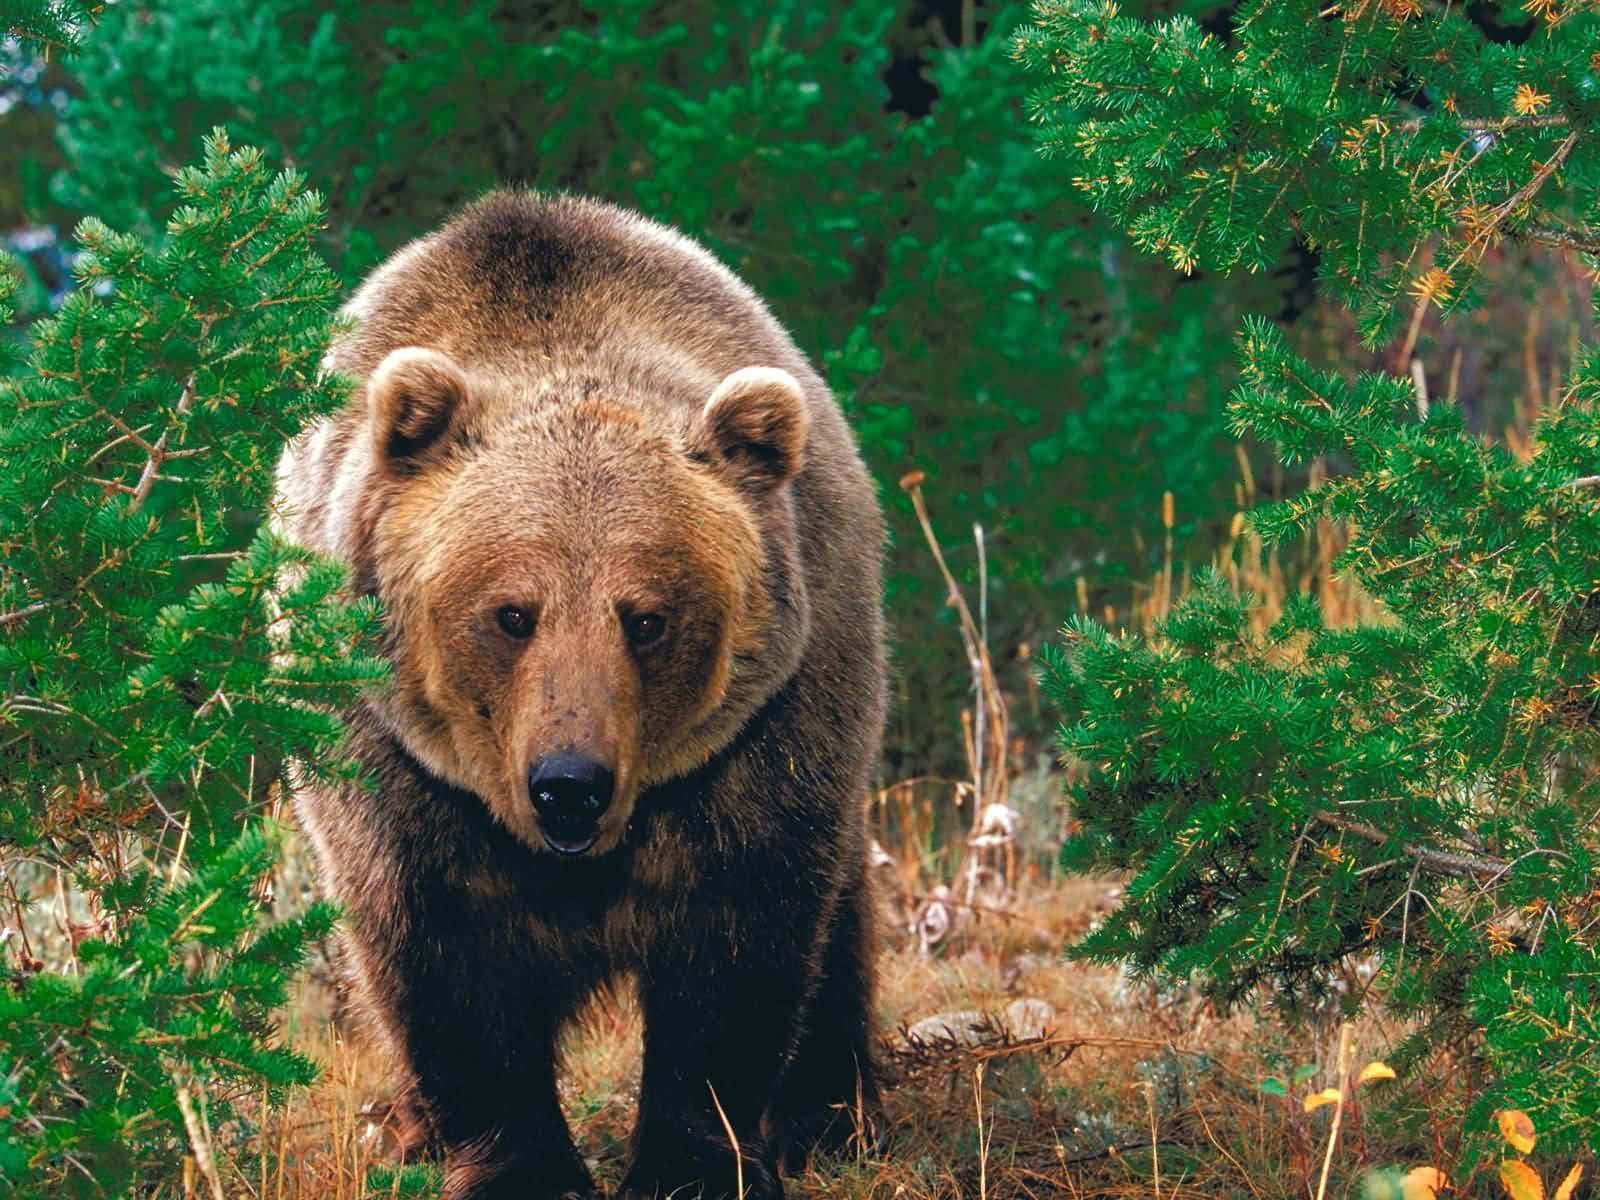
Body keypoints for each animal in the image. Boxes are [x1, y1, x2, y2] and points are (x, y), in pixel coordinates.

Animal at [272, 191, 886, 1200]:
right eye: (512, 612)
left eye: (648, 617)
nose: (570, 783)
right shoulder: (395, 768)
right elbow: (444, 958)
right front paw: (517, 1166)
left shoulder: (760, 744)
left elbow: (734, 947)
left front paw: (691, 1161)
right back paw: (404, 1130)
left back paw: (831, 1113)